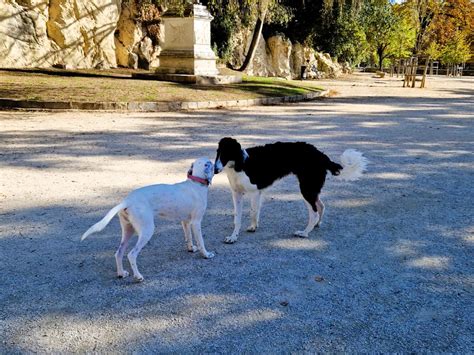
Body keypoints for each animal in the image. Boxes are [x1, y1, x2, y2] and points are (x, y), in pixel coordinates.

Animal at [81, 157, 215, 282]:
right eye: (211, 163)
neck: (195, 183)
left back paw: (121, 273)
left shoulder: (185, 222)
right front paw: (206, 255)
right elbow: (201, 242)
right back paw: (138, 277)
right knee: (131, 254)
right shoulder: (196, 222)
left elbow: (189, 238)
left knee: (119, 253)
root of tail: (127, 201)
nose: (216, 163)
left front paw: (191, 249)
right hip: (147, 230)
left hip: (128, 230)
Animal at [214, 138, 366, 243]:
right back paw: (316, 225)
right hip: (311, 188)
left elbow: (252, 212)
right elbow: (238, 218)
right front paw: (234, 236)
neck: (240, 164)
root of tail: (321, 155)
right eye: (218, 153)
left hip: (306, 188)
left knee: (314, 212)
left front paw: (252, 227)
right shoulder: (237, 194)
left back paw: (304, 233)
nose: (215, 170)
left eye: (226, 153)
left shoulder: (255, 192)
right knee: (321, 206)